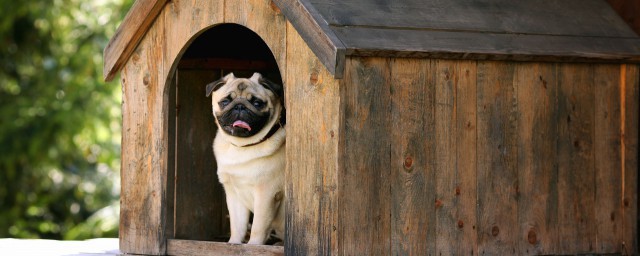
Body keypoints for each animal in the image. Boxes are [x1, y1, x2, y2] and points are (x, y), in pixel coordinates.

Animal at [205, 73, 284, 245]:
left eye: (257, 103)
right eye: (225, 102)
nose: (240, 106)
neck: (242, 147)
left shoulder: (266, 194)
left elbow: (258, 228)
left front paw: (253, 246)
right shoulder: (234, 195)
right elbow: (238, 226)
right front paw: (234, 243)